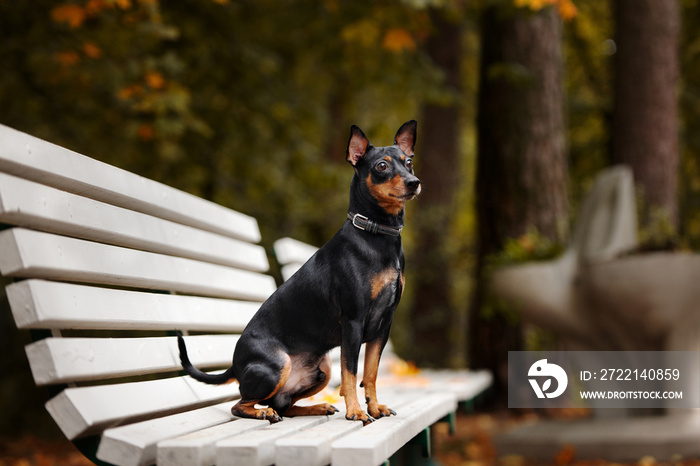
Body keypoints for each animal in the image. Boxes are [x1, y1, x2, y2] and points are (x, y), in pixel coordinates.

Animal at [180, 121, 422, 426]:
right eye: (381, 166)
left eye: (409, 162)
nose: (414, 182)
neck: (377, 234)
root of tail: (235, 365)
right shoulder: (353, 321)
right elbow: (351, 373)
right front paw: (356, 411)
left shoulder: (383, 324)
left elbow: (370, 373)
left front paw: (375, 407)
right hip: (277, 364)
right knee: (241, 404)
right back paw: (265, 413)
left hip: (322, 367)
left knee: (283, 403)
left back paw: (317, 407)